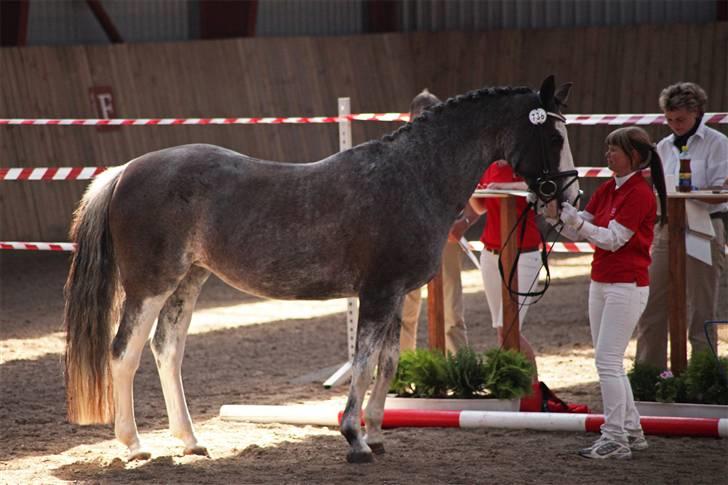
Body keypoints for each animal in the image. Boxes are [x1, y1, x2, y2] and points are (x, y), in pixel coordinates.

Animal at [64, 74, 576, 462]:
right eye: (554, 136)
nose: (567, 195)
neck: (412, 175)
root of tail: (126, 170)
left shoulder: (395, 294)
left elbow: (388, 365)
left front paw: (376, 434)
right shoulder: (377, 292)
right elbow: (364, 364)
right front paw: (354, 439)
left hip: (188, 281)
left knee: (167, 351)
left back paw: (191, 441)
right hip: (149, 285)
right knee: (123, 353)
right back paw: (134, 445)